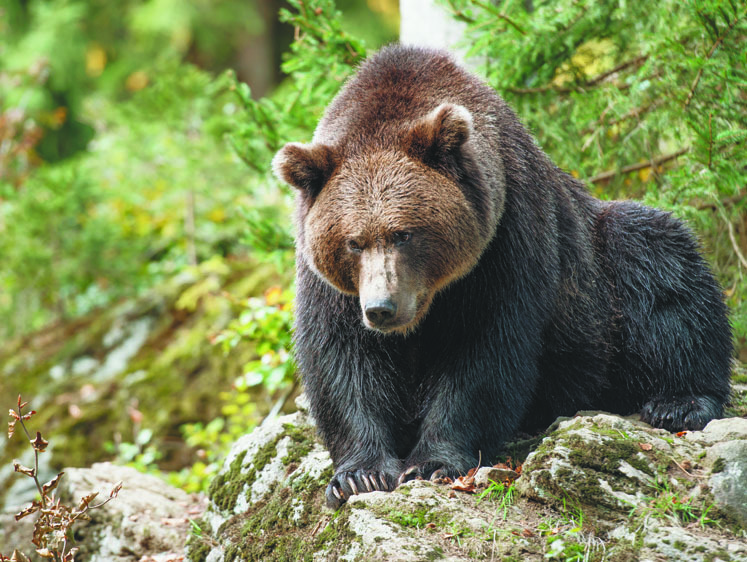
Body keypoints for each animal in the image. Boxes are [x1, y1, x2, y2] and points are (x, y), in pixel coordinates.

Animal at [272, 44, 732, 508]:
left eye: (403, 233)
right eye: (353, 242)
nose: (382, 309)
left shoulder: (506, 238)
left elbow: (484, 353)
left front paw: (434, 462)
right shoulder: (329, 283)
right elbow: (342, 359)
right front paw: (359, 475)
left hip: (601, 280)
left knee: (659, 266)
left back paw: (679, 401)